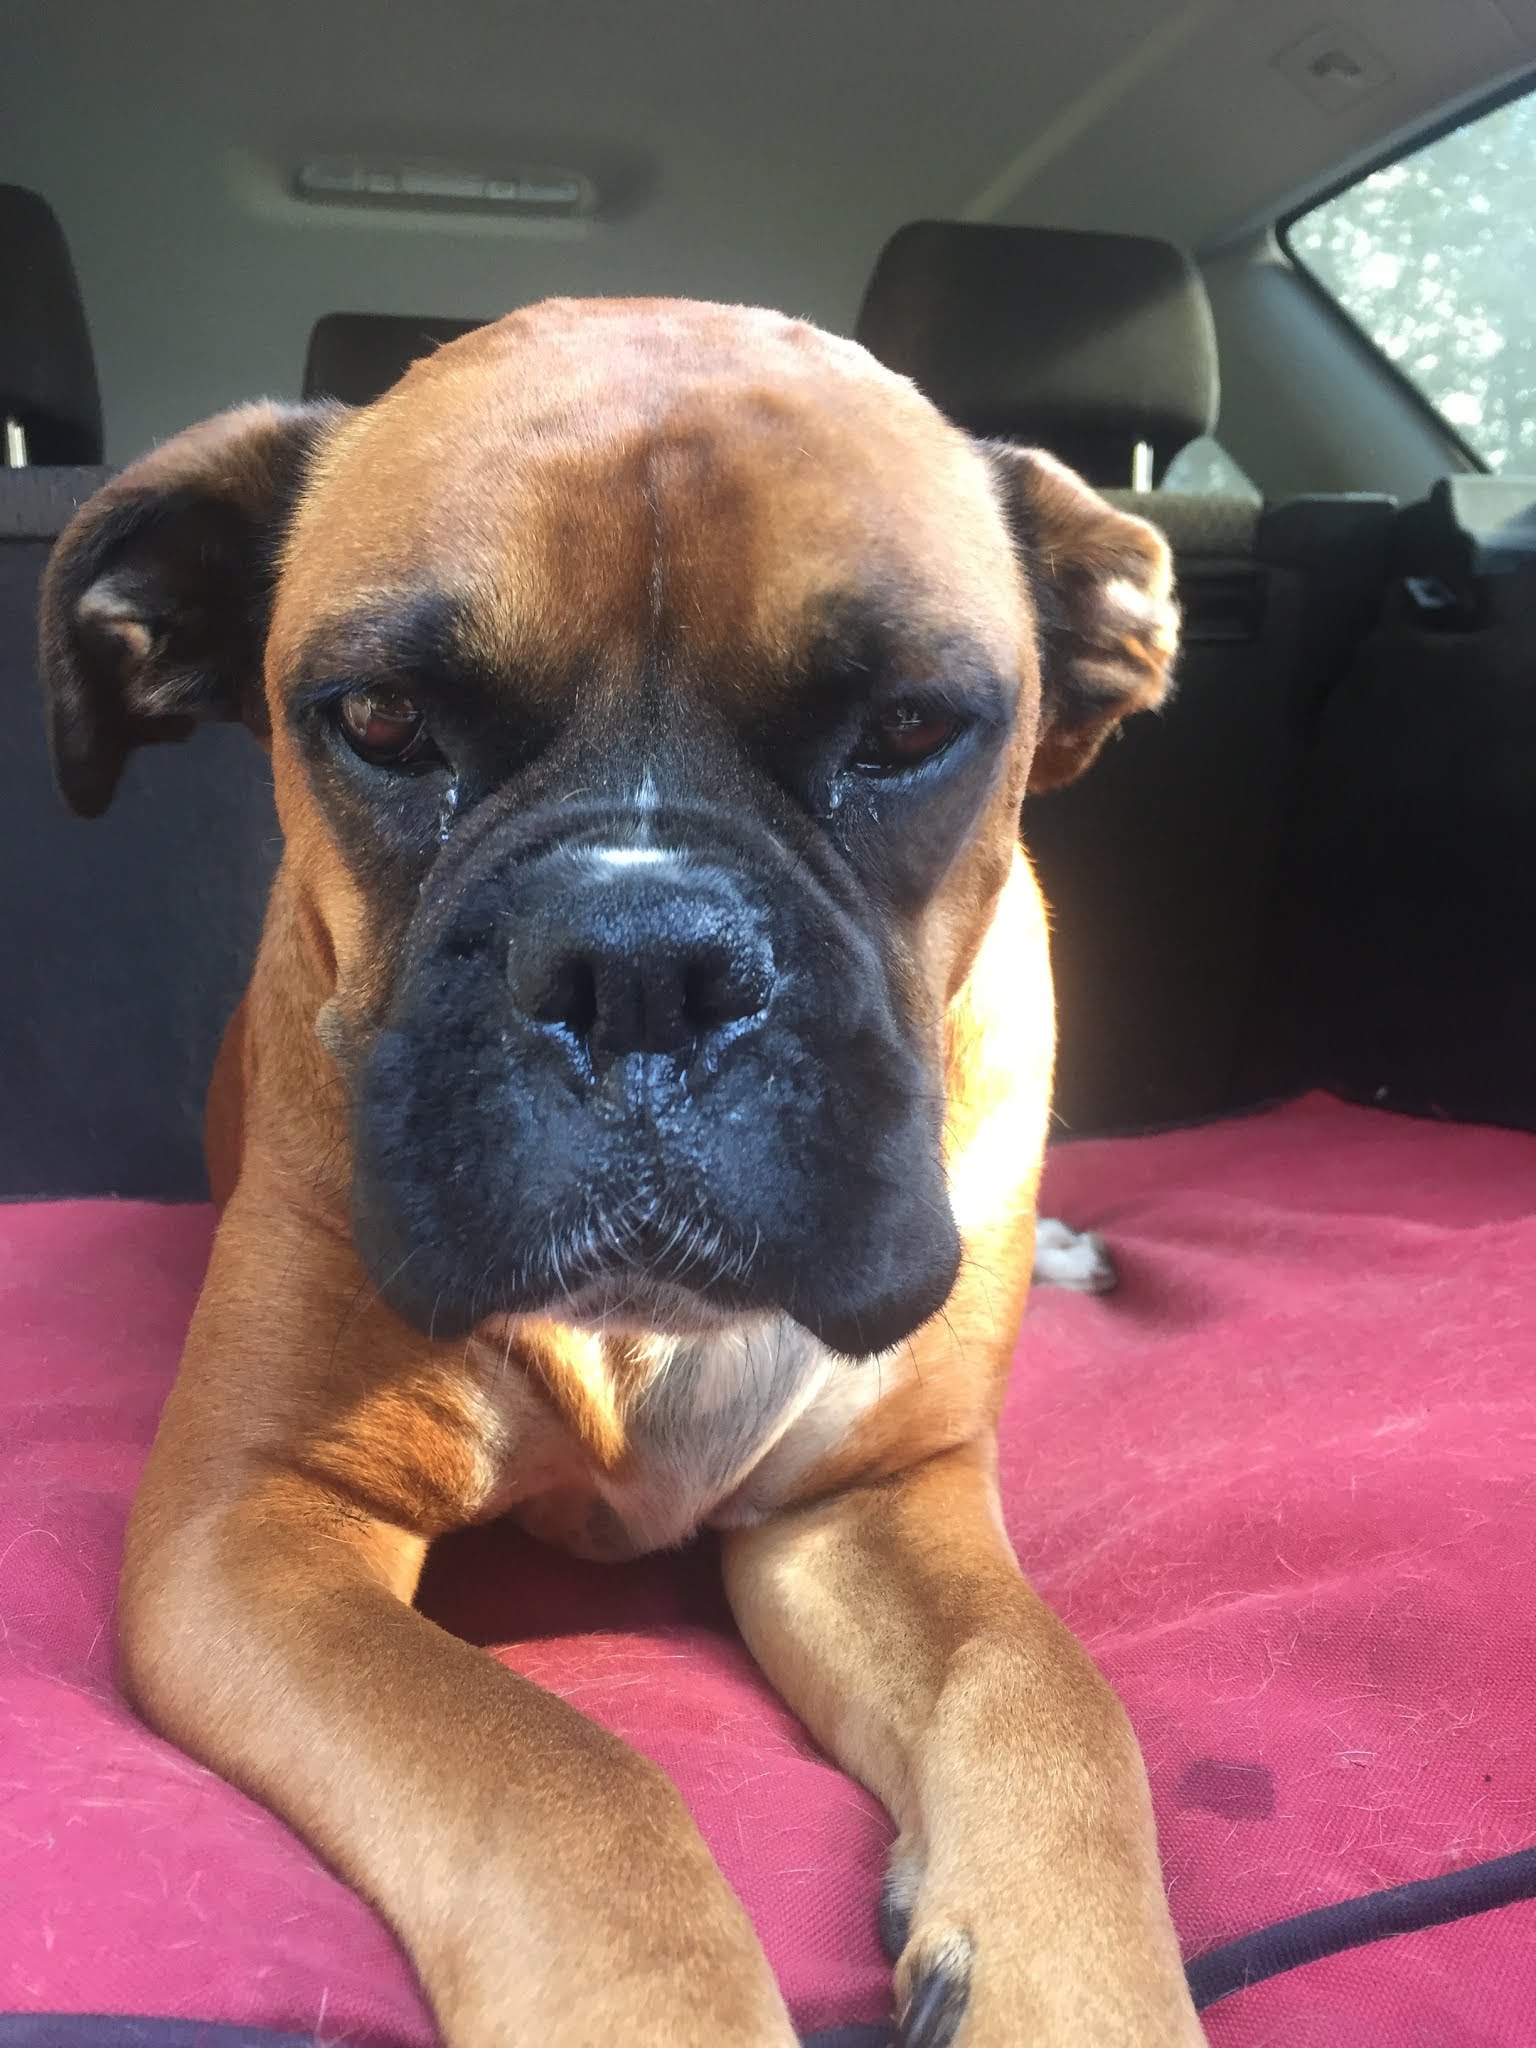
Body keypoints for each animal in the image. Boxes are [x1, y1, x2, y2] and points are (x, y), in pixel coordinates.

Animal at [40, 299, 1199, 2046]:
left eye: (912, 727)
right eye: (381, 720)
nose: (646, 961)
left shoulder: (870, 1504)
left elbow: (1050, 1693)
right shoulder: (254, 1524)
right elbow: (561, 1779)